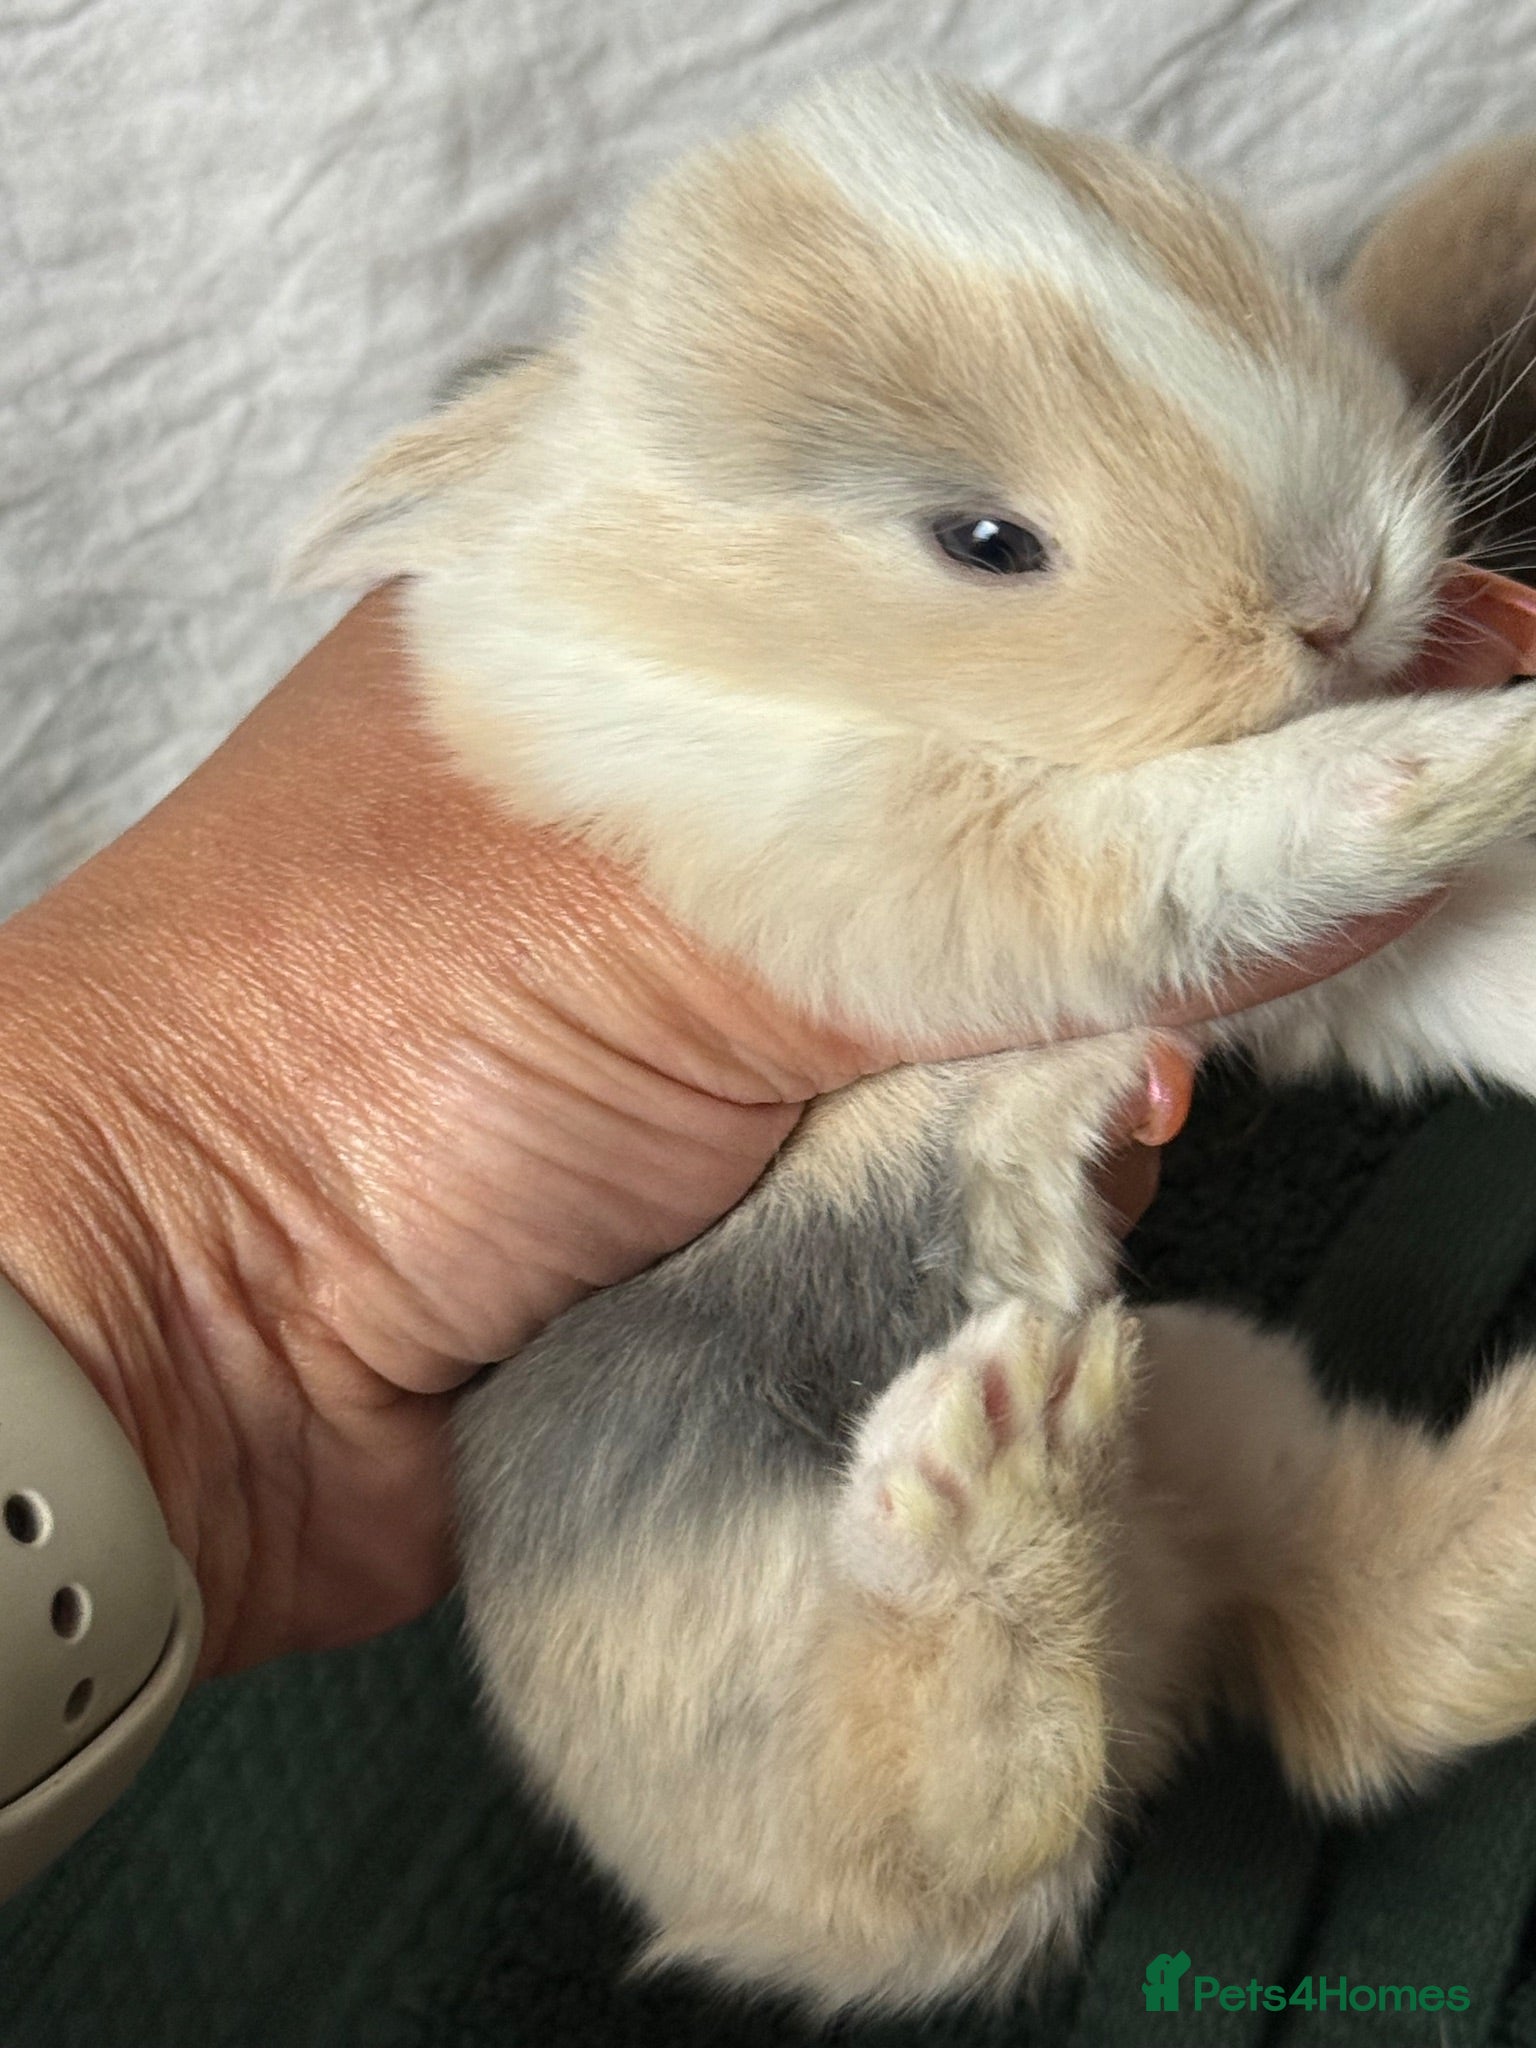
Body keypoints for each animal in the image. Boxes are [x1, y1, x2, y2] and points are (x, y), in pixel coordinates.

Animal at [291, 72, 1536, 2014]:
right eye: (983, 542)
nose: (1344, 592)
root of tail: (1149, 1653)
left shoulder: (1279, 987)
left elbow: (1449, 964)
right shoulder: (948, 876)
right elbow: (1207, 833)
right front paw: (1465, 752)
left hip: (1217, 1407)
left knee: (1351, 1657)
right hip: (742, 1664)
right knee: (962, 1825)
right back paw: (989, 1479)